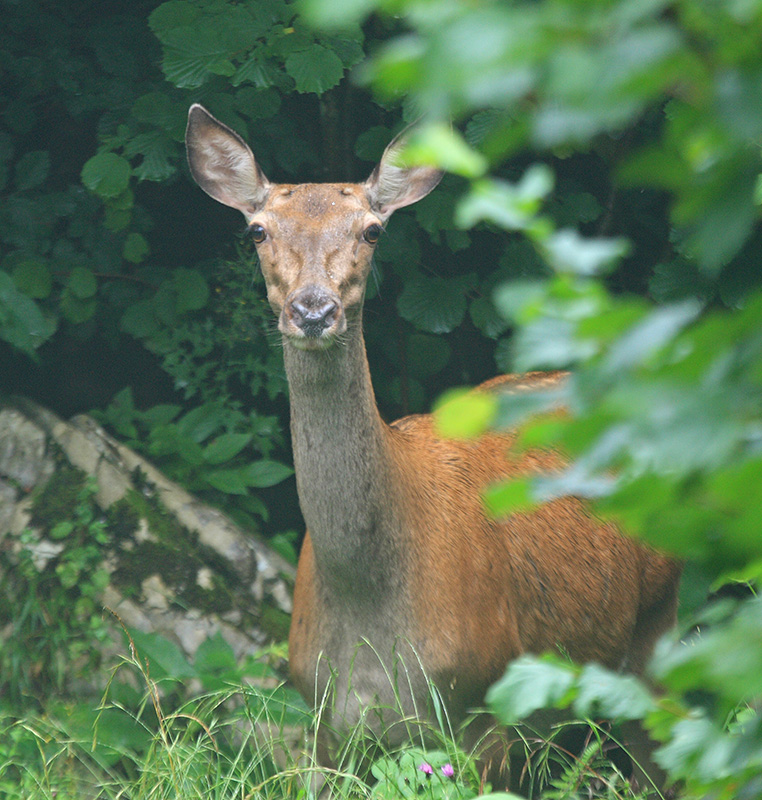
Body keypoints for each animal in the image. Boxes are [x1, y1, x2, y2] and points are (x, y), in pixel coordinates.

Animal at [186, 104, 684, 792]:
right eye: (258, 230)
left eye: (371, 231)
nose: (313, 311)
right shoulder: (323, 723)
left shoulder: (487, 708)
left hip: (660, 621)